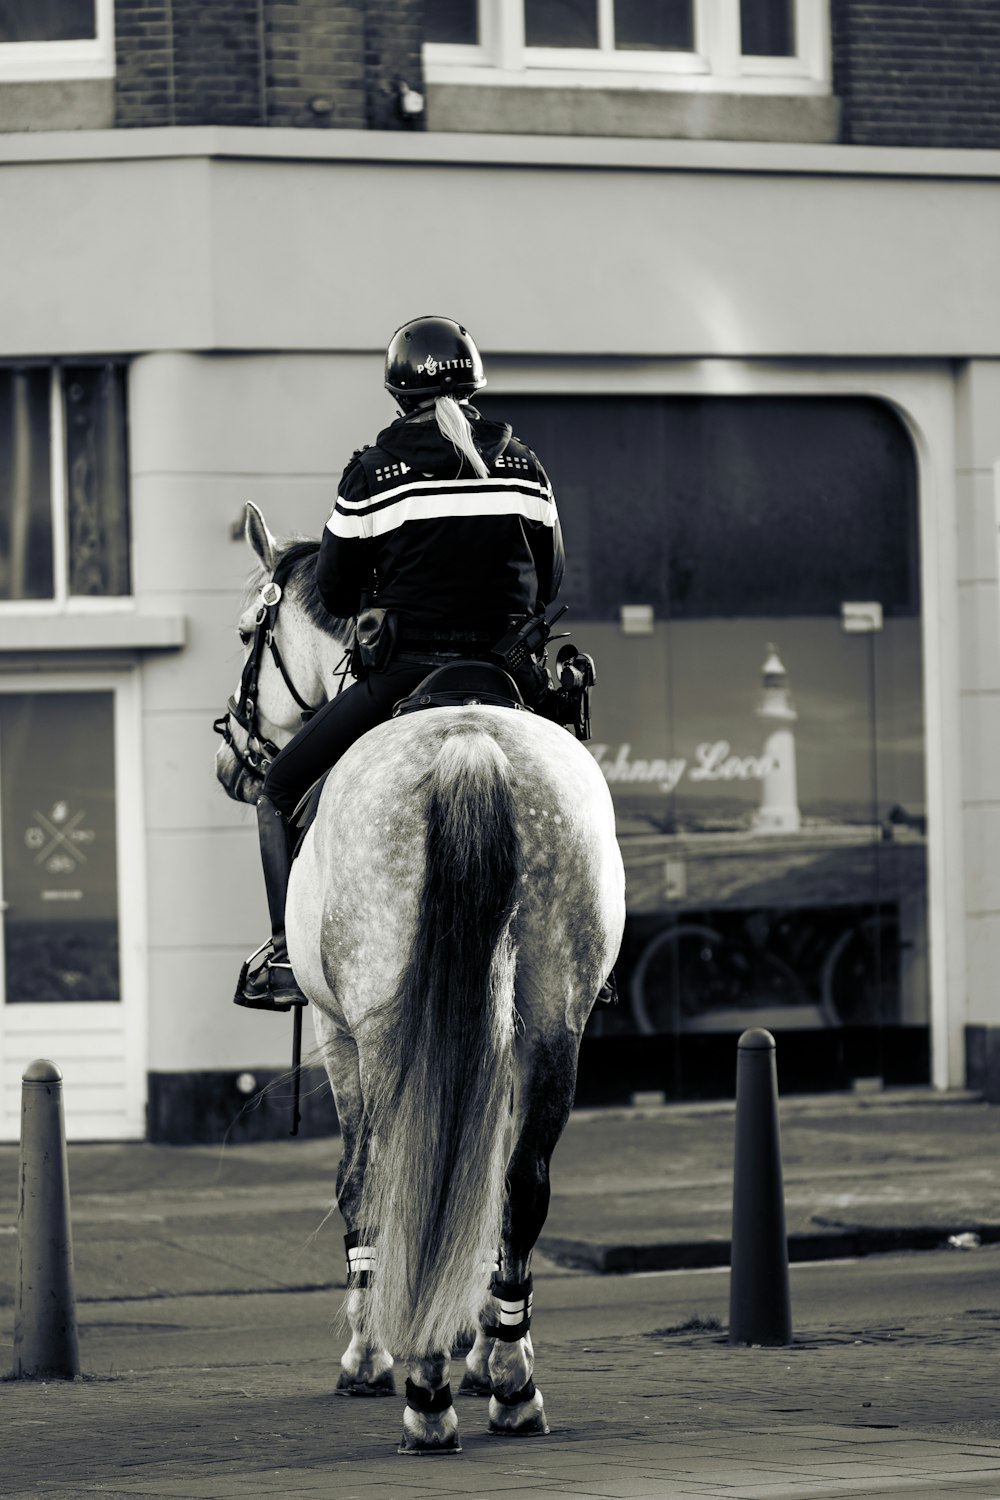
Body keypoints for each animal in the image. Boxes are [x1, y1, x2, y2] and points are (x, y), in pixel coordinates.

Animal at [215, 507, 626, 1452]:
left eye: (249, 634)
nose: (230, 759)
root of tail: (470, 745)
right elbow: (482, 1178)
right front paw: (485, 1345)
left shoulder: (340, 1035)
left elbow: (360, 1176)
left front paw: (371, 1354)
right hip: (553, 1020)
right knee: (519, 1181)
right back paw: (508, 1383)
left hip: (387, 1023)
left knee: (403, 1164)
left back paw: (425, 1390)